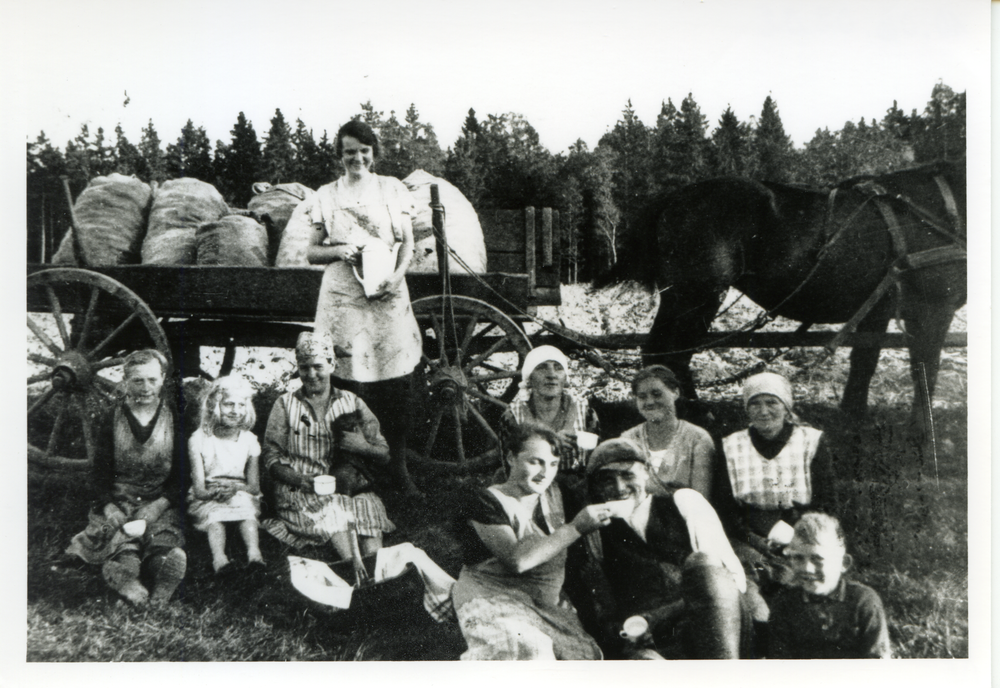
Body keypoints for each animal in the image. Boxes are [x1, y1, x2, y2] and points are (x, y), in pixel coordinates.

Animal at [612, 161, 964, 440]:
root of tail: (674, 196)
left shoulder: (878, 309)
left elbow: (865, 362)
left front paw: (853, 419)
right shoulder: (932, 309)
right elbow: (925, 368)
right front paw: (922, 434)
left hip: (690, 298)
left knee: (667, 354)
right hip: (695, 295)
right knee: (669, 352)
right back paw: (692, 416)